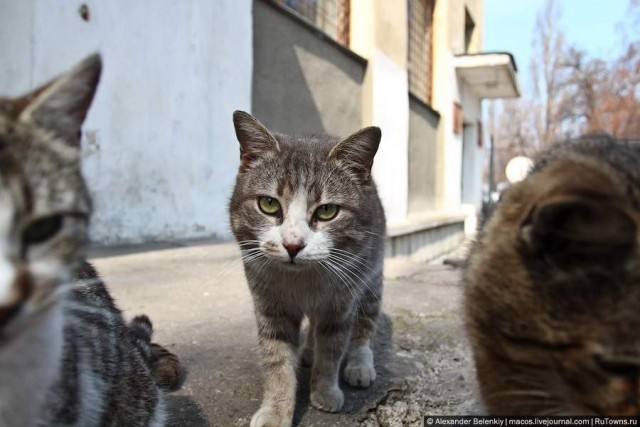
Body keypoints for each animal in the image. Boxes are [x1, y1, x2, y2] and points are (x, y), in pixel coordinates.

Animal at [230, 112, 384, 426]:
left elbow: (332, 349)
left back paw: (360, 363)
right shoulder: (270, 307)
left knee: (365, 324)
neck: (302, 281)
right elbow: (277, 359)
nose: (292, 245)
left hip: (372, 279)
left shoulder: (341, 303)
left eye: (327, 211)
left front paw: (324, 391)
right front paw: (277, 410)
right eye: (268, 204)